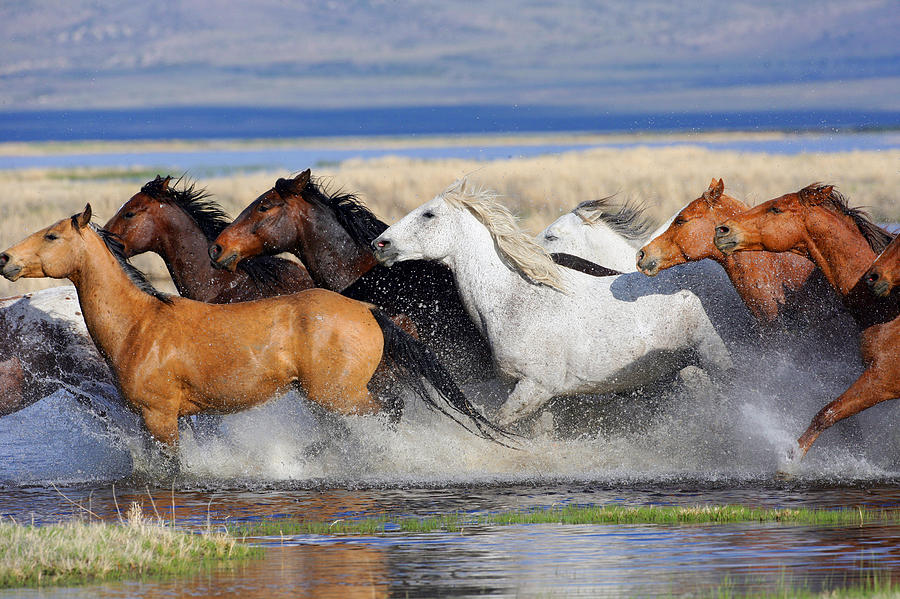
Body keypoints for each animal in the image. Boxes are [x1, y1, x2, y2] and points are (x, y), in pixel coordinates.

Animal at [370, 180, 732, 428]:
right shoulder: (535, 394)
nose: (379, 244)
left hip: (718, 361)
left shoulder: (536, 387)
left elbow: (501, 425)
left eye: (428, 214)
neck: (516, 300)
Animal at [712, 183, 896, 460]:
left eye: (776, 208)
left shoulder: (883, 377)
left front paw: (790, 460)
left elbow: (827, 413)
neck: (887, 304)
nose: (722, 230)